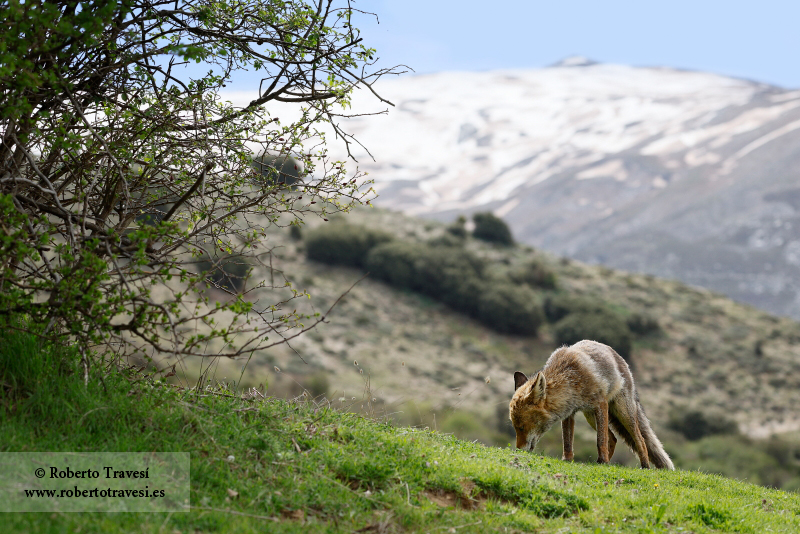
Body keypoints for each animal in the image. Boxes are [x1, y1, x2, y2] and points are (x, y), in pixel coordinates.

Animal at [510, 342, 672, 472]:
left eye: (522, 427)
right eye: (515, 428)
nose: (519, 451)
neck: (571, 379)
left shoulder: (601, 403)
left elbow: (600, 441)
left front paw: (604, 461)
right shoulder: (570, 412)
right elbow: (567, 442)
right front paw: (567, 460)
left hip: (623, 413)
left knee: (640, 440)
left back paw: (644, 466)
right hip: (590, 416)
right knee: (613, 439)